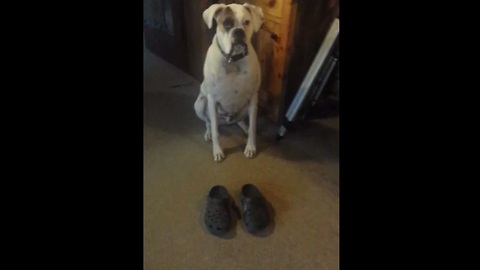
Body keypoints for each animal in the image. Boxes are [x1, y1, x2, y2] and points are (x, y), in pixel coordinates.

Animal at [193, 3, 264, 162]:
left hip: (247, 108)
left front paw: (250, 147)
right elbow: (214, 129)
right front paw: (217, 151)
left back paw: (244, 128)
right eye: (227, 24)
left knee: (241, 121)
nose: (238, 31)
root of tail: (227, 120)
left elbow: (253, 127)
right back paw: (208, 133)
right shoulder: (212, 100)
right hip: (200, 104)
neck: (233, 61)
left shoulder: (253, 98)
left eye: (247, 22)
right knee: (208, 122)